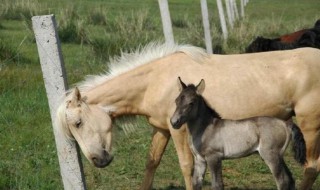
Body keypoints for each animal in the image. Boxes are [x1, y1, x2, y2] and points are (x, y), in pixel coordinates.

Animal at [171, 77, 306, 190]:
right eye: (176, 101)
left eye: (191, 102)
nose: (174, 122)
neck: (206, 128)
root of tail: (285, 124)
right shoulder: (200, 160)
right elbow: (197, 184)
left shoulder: (214, 157)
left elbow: (217, 185)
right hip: (279, 156)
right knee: (290, 180)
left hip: (271, 155)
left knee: (282, 182)